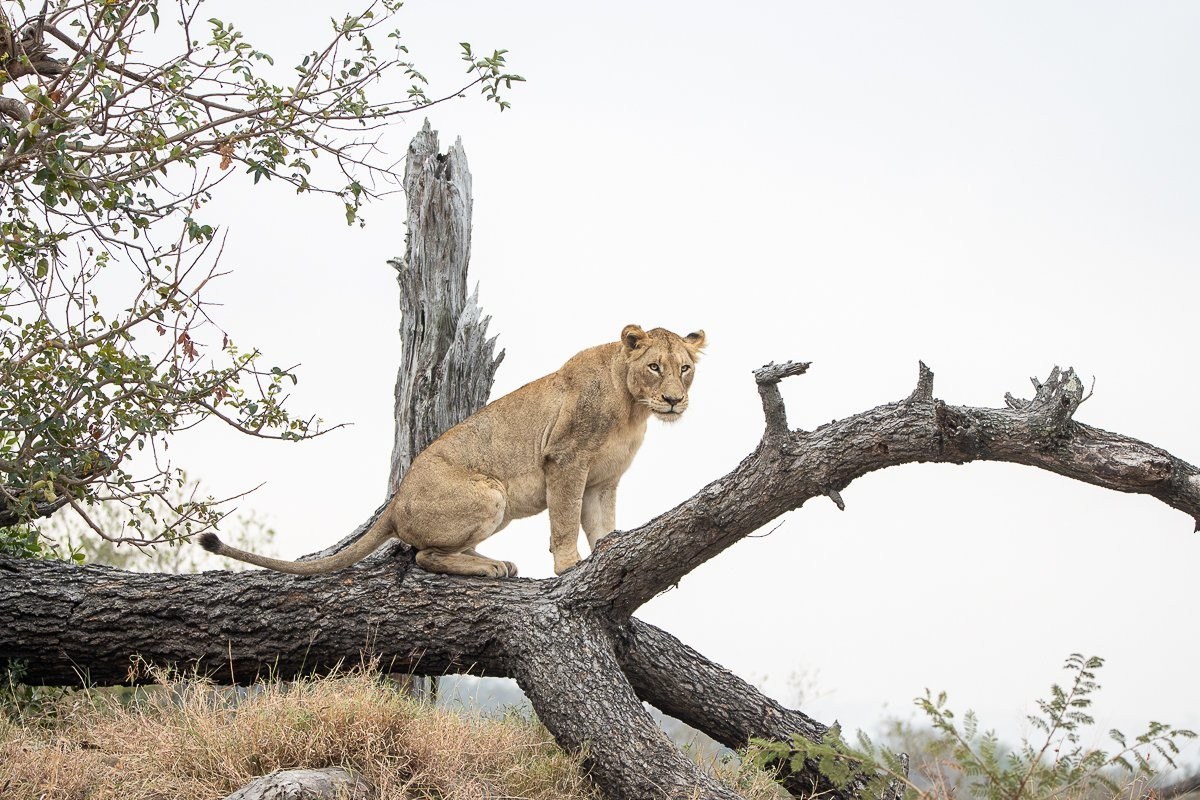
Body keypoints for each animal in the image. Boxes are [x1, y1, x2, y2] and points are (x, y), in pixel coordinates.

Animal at [199, 324, 705, 577]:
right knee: (424, 556)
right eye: (654, 367)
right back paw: (489, 567)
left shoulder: (603, 478)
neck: (634, 409)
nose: (675, 400)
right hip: (490, 492)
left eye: (685, 368)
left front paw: (608, 553)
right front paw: (567, 567)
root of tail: (396, 500)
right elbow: (564, 520)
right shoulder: (565, 459)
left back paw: (493, 562)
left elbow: (601, 524)